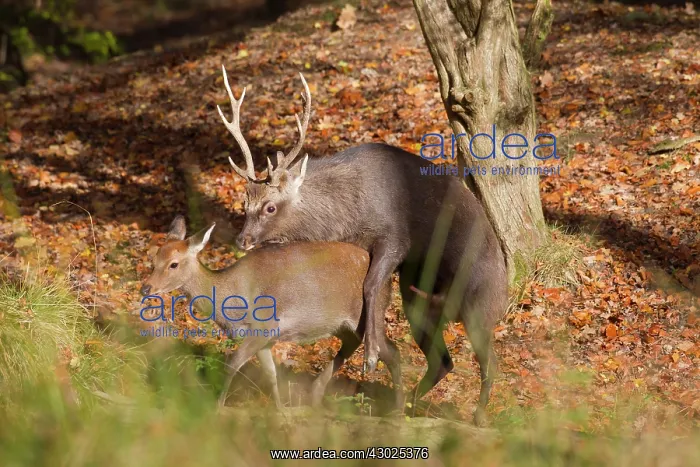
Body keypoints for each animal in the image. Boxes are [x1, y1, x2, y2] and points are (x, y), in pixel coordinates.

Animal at [140, 216, 403, 410]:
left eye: (173, 264)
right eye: (154, 259)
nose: (146, 287)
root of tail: (389, 282)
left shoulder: (264, 327)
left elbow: (232, 364)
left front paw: (217, 405)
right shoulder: (265, 340)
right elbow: (271, 374)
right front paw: (279, 409)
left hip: (370, 314)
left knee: (392, 352)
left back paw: (397, 412)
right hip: (345, 325)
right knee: (353, 344)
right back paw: (315, 395)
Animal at [216, 65, 508, 425]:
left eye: (270, 207)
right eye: (245, 204)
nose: (243, 240)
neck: (348, 213)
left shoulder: (395, 235)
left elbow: (370, 287)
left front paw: (370, 356)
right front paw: (322, 388)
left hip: (481, 302)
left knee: (490, 361)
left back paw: (478, 416)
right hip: (418, 301)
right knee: (443, 360)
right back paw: (407, 405)